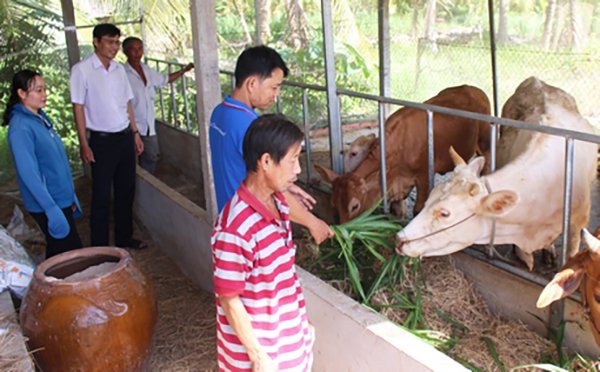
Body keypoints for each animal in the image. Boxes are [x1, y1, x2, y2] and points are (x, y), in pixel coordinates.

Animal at [316, 85, 490, 222]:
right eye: (333, 203)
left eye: (354, 206)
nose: (345, 232)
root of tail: (473, 88)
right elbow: (397, 211)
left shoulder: (424, 176)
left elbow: (418, 210)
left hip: (485, 142)